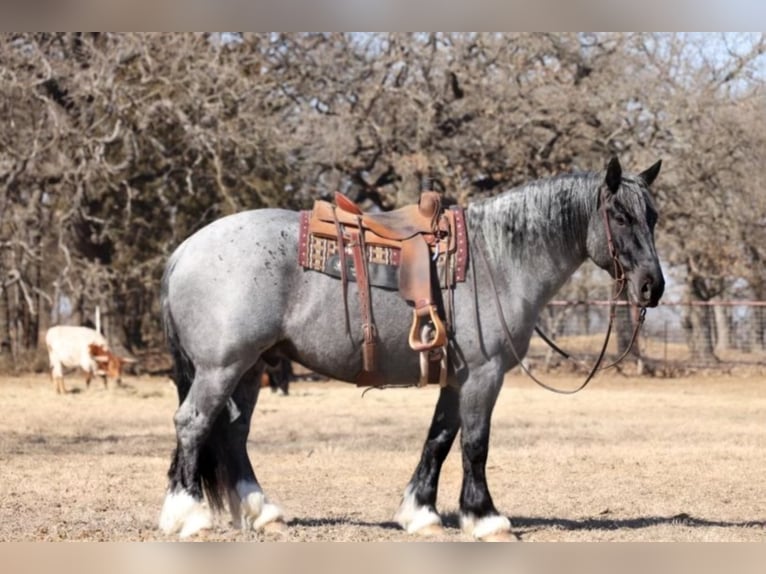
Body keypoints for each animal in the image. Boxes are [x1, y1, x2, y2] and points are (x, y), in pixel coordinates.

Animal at [160, 156, 664, 540]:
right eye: (620, 216)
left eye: (653, 218)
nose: (652, 286)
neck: (497, 260)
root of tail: (184, 250)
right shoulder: (484, 374)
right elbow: (475, 444)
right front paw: (486, 518)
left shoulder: (458, 378)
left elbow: (439, 439)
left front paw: (421, 515)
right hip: (222, 367)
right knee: (193, 424)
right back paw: (189, 517)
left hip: (249, 369)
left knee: (233, 433)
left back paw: (262, 513)